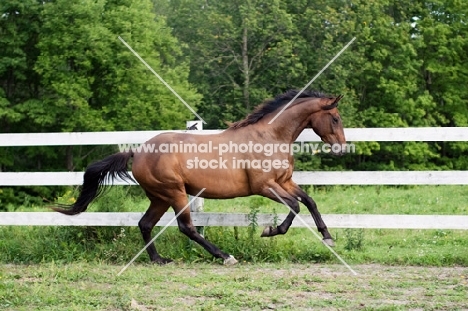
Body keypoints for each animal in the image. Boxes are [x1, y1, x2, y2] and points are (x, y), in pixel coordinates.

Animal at [54, 89, 348, 266]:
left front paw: (327, 237)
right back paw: (225, 256)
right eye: (335, 118)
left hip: (160, 197)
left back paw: (159, 260)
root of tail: (137, 152)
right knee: (187, 227)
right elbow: (295, 206)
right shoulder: (265, 186)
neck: (270, 137)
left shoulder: (284, 182)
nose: (342, 148)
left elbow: (309, 201)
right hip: (175, 193)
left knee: (145, 224)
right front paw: (271, 230)